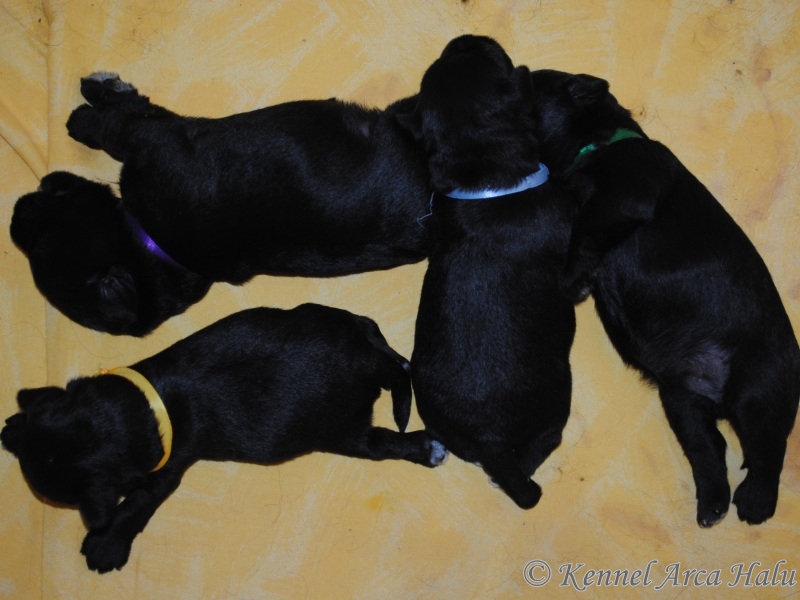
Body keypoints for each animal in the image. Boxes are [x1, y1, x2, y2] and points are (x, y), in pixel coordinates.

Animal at [1, 303, 447, 573]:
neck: (145, 403)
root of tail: (367, 363)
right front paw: (18, 429)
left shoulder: (166, 470)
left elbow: (135, 505)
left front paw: (105, 544)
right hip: (335, 320)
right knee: (392, 355)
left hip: (345, 431)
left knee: (383, 438)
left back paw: (426, 447)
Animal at [10, 73, 432, 336]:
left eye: (41, 242)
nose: (14, 215)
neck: (155, 245)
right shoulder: (161, 134)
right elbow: (127, 119)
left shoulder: (157, 136)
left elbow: (119, 125)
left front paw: (87, 113)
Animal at [400, 36, 576, 509]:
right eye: (488, 60)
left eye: (454, 57)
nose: (464, 39)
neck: (486, 178)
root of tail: (490, 439)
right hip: (560, 388)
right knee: (540, 446)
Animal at [528, 68, 800, 526]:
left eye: (531, 79)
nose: (516, 70)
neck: (597, 142)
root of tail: (718, 396)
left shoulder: (622, 198)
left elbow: (584, 232)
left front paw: (571, 280)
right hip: (681, 402)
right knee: (710, 450)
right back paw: (712, 505)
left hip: (757, 394)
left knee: (767, 453)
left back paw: (754, 503)